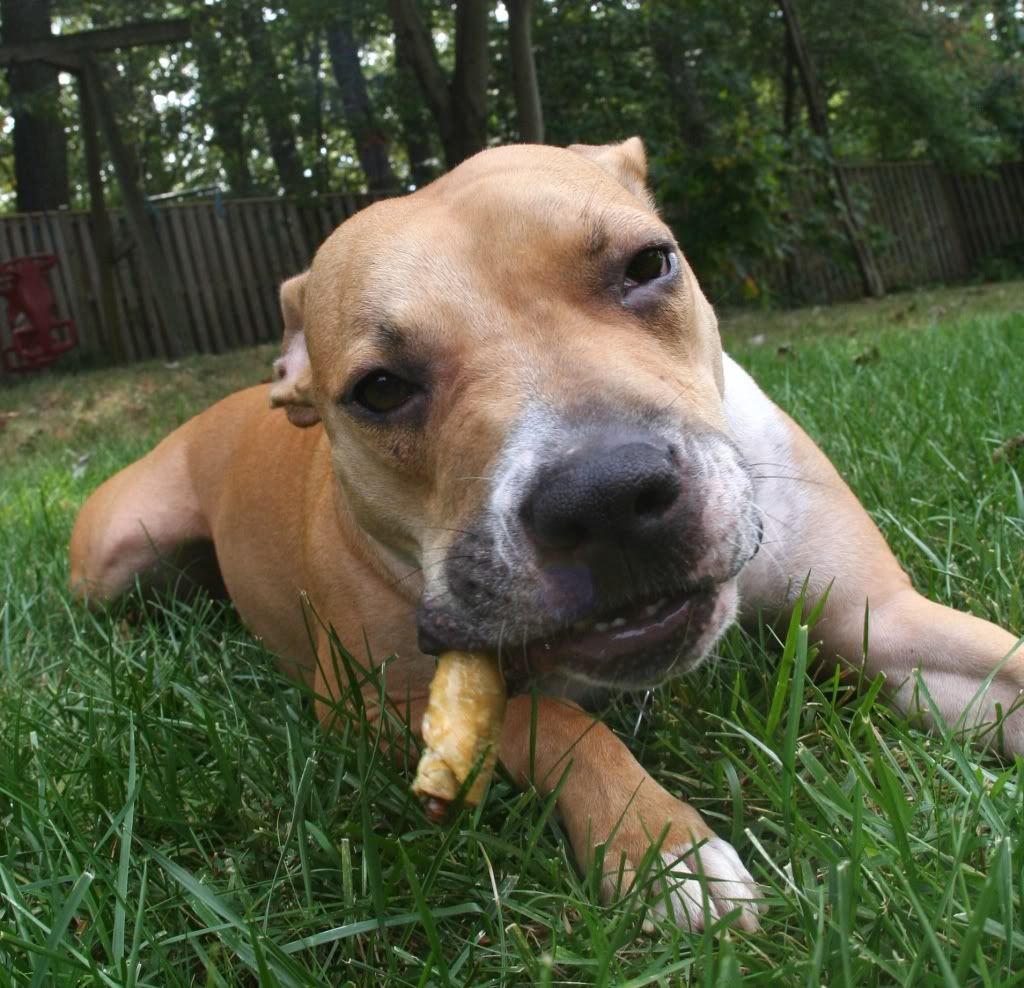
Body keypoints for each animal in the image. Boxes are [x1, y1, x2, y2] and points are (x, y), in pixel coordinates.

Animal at [68, 139, 1019, 933]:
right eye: (380, 389)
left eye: (648, 265)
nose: (607, 499)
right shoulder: (372, 706)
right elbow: (549, 719)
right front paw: (661, 846)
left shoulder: (878, 617)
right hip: (113, 554)